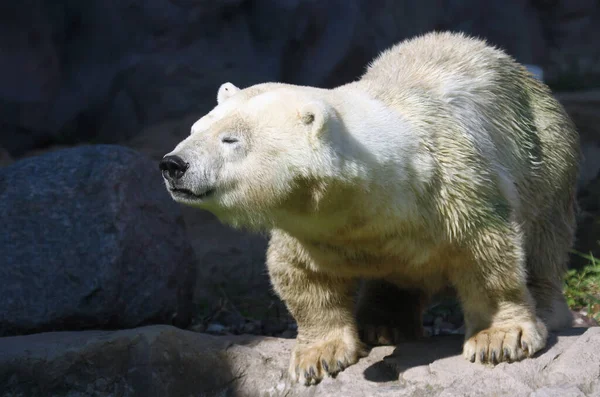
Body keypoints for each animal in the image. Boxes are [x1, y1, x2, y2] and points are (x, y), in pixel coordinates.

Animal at [161, 32, 580, 386]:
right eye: (196, 129)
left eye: (230, 139)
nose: (172, 164)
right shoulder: (309, 228)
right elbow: (301, 277)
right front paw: (319, 356)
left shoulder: (457, 188)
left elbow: (486, 254)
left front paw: (499, 339)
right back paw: (382, 325)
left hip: (544, 154)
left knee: (543, 237)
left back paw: (545, 308)